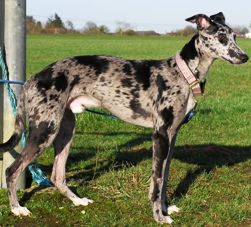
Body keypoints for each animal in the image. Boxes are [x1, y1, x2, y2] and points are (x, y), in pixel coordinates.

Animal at [0, 12, 248, 223]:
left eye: (234, 36)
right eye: (221, 37)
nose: (244, 57)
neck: (184, 73)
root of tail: (33, 78)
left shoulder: (172, 135)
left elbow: (165, 176)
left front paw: (166, 208)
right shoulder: (160, 135)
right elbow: (156, 181)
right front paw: (159, 217)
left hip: (65, 131)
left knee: (57, 175)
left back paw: (77, 201)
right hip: (45, 131)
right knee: (12, 170)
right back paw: (17, 208)